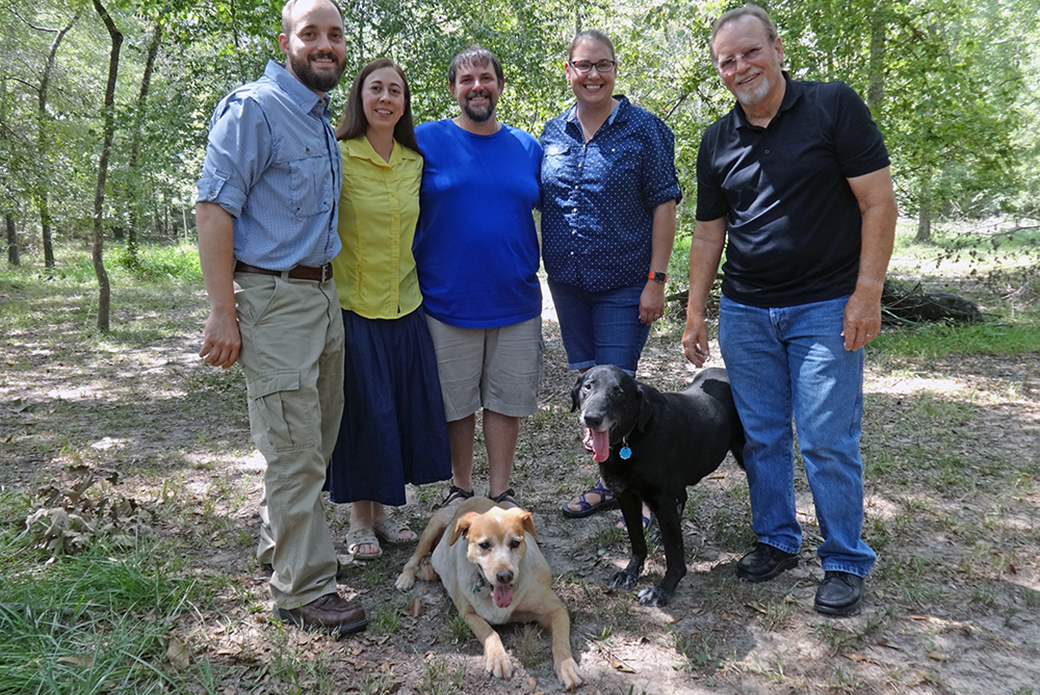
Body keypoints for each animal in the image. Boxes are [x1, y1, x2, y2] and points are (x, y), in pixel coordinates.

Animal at [393, 499, 582, 690]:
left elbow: (560, 641)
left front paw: (567, 667)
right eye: (484, 545)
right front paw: (499, 659)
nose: (505, 576)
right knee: (414, 558)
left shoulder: (556, 609)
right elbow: (489, 632)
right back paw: (406, 577)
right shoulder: (468, 614)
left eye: (515, 543)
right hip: (432, 528)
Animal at [574, 366, 744, 603]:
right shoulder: (626, 497)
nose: (592, 418)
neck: (634, 437)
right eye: (588, 386)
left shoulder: (662, 501)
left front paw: (663, 590)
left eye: (618, 392)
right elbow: (637, 541)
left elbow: (675, 554)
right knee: (682, 497)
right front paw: (630, 572)